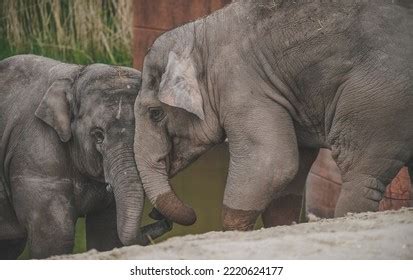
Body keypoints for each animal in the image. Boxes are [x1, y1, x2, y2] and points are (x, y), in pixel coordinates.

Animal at [0, 53, 171, 260]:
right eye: (98, 135)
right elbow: (55, 238)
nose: (157, 213)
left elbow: (105, 234)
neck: (75, 73)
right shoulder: (35, 153)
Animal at [134, 0, 410, 232]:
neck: (199, 32)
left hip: (378, 99)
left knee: (360, 175)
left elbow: (272, 163)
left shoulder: (241, 87)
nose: (156, 215)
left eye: (155, 114)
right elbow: (290, 175)